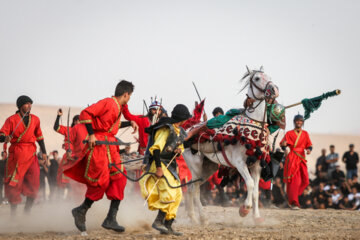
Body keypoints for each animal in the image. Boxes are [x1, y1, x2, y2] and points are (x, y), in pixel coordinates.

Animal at [184, 66, 280, 224]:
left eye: (270, 77)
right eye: (257, 78)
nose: (274, 89)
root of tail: (186, 131)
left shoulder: (256, 166)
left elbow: (255, 191)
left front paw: (256, 217)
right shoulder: (240, 163)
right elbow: (250, 184)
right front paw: (244, 209)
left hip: (209, 167)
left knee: (192, 187)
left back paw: (193, 217)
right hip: (195, 165)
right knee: (195, 189)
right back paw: (202, 217)